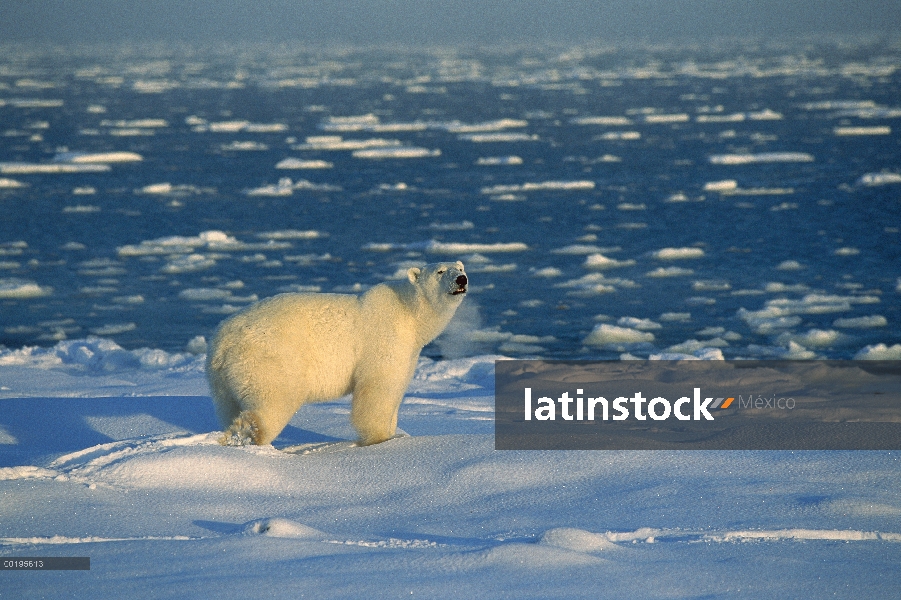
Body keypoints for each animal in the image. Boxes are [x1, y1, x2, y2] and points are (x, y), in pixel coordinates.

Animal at [207, 260, 468, 448]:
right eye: (440, 271)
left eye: (461, 267)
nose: (461, 279)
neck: (409, 313)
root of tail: (223, 342)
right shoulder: (385, 340)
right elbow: (378, 388)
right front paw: (380, 439)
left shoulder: (410, 352)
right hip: (270, 358)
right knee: (274, 400)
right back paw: (250, 434)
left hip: (224, 379)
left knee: (228, 406)